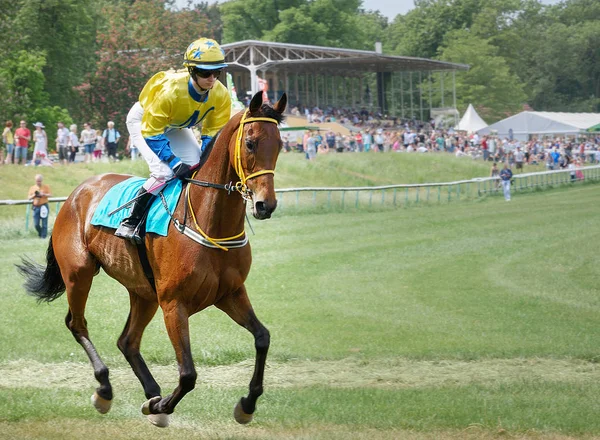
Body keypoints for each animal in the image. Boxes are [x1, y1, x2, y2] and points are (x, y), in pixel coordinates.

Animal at [17, 91, 288, 428]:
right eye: (250, 143)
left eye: (279, 144)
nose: (266, 204)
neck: (207, 221)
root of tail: (76, 193)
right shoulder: (174, 304)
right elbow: (188, 374)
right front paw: (161, 407)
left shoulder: (230, 293)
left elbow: (262, 337)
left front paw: (247, 404)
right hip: (79, 274)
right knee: (77, 323)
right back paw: (105, 389)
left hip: (143, 292)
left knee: (127, 341)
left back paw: (150, 391)